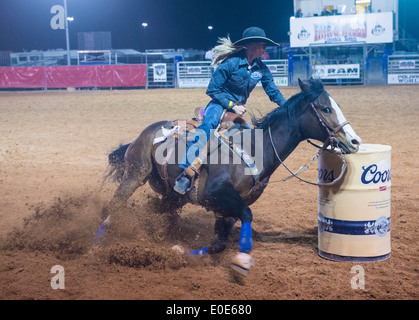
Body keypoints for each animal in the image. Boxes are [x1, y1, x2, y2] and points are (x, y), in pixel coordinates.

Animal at [95, 78, 360, 276]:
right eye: (326, 109)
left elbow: (218, 244)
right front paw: (242, 261)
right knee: (113, 205)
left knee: (153, 211)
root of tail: (144, 133)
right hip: (135, 174)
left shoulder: (225, 207)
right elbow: (247, 216)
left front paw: (179, 252)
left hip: (172, 196)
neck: (256, 149)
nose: (355, 141)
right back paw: (98, 243)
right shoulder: (216, 194)